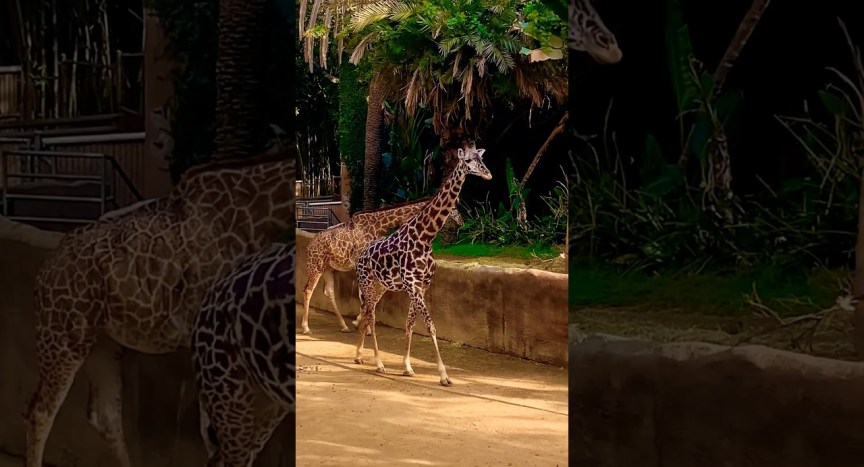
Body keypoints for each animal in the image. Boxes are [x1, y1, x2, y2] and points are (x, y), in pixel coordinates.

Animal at [301, 197, 463, 335]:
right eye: (454, 207)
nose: (461, 222)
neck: (378, 225)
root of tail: (309, 246)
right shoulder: (363, 264)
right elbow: (366, 295)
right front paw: (365, 327)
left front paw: (358, 322)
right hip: (316, 265)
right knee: (308, 289)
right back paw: (306, 328)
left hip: (328, 268)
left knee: (328, 291)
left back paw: (344, 326)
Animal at [353, 141, 491, 387]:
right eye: (467, 161)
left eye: (481, 159)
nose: (488, 174)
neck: (426, 236)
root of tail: (360, 257)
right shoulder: (412, 285)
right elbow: (430, 326)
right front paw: (444, 375)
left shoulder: (422, 285)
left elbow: (410, 323)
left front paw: (407, 367)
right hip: (368, 284)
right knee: (371, 316)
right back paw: (378, 363)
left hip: (379, 287)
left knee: (368, 312)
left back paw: (360, 356)